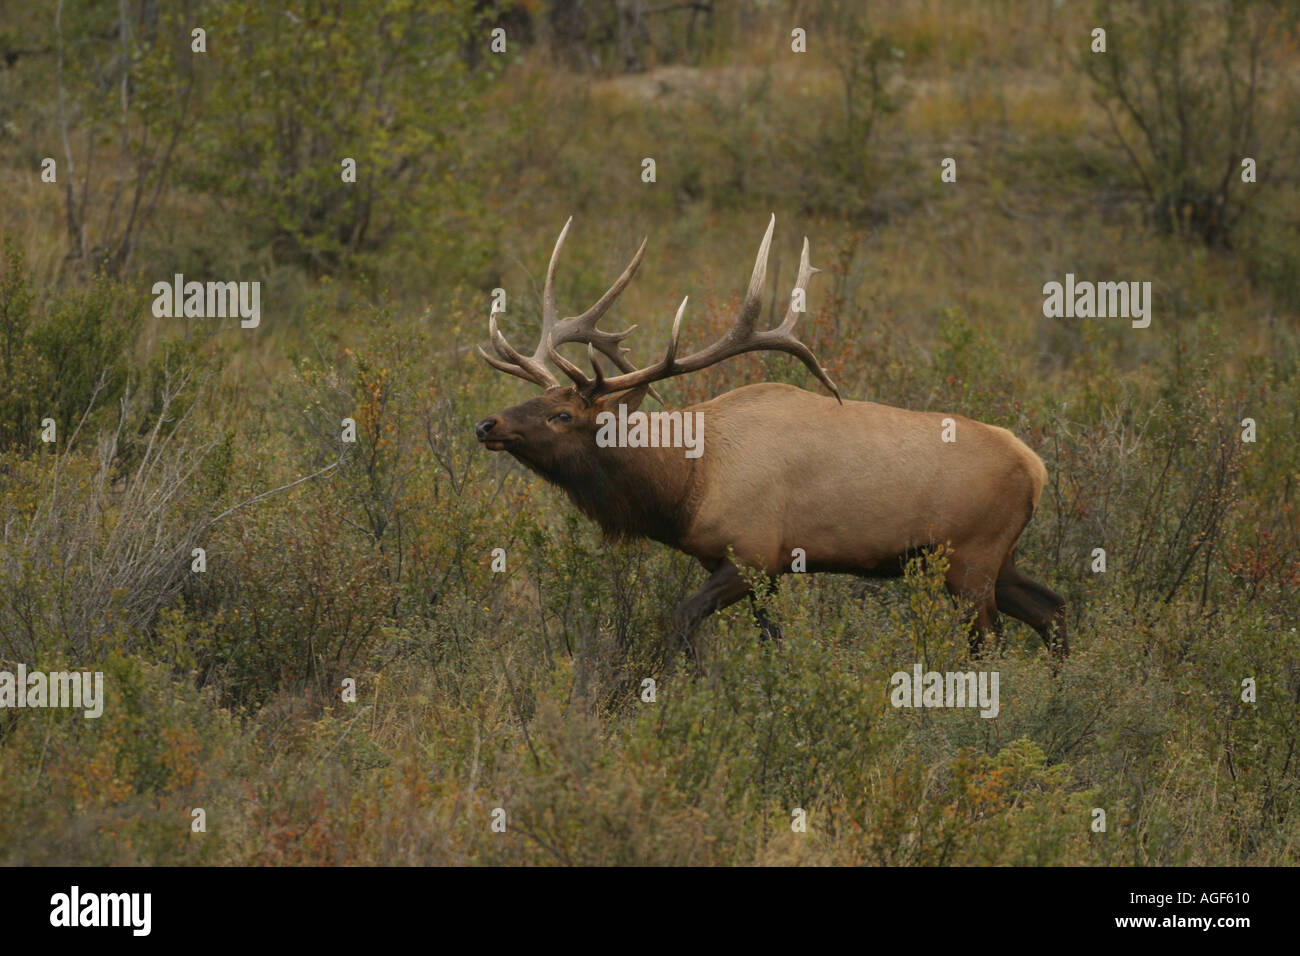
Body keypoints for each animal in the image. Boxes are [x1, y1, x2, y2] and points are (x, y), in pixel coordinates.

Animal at [474, 216, 1068, 661]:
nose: (488, 424)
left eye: (562, 414)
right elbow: (773, 643)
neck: (685, 486)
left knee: (992, 640)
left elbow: (682, 618)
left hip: (971, 555)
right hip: (996, 555)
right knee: (1054, 609)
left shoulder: (752, 553)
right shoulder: (767, 570)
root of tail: (1036, 467)